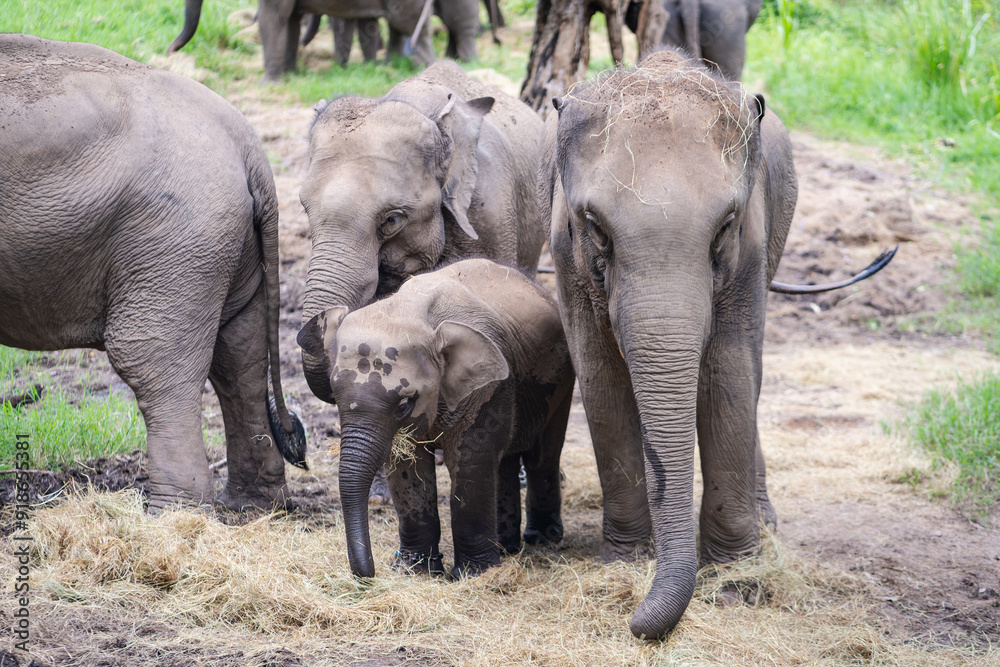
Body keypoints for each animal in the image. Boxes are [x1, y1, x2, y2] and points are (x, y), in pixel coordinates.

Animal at [0, 35, 307, 511]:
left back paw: (169, 514)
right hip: (226, 245)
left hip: (175, 239)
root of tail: (248, 146)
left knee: (153, 363)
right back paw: (252, 507)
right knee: (240, 358)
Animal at [169, 0, 480, 82]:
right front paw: (291, 74)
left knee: (408, 24)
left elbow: (274, 18)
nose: (171, 49)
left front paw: (268, 83)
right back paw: (392, 66)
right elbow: (290, 22)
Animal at [298, 258, 574, 578]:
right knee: (504, 460)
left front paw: (473, 575)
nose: (368, 575)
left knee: (542, 454)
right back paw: (507, 548)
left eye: (404, 404)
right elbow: (408, 466)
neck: (412, 311)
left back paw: (541, 539)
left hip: (561, 379)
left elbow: (469, 460)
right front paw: (414, 570)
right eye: (335, 395)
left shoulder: (489, 385)